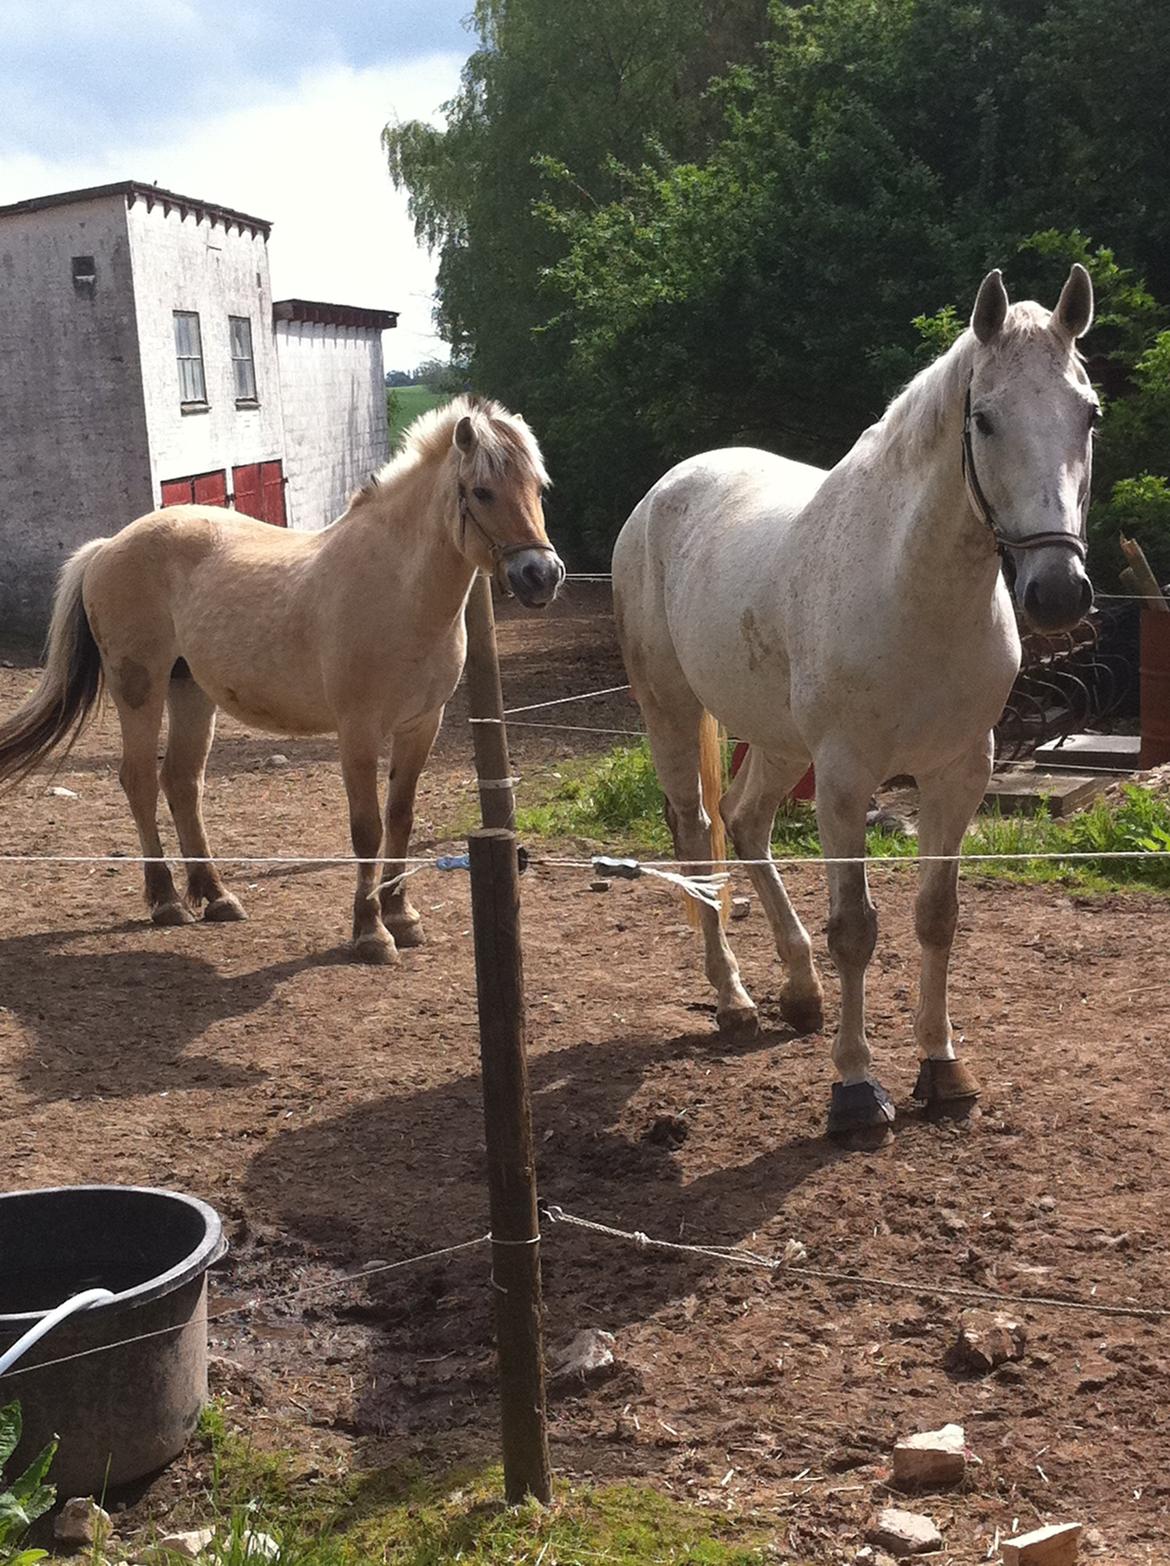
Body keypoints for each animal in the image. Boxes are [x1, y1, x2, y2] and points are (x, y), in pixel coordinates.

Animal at [613, 263, 1096, 1133]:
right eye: (985, 419)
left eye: (1089, 413)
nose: (1057, 592)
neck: (913, 589)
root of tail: (664, 492)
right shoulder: (844, 780)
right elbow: (857, 930)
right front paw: (856, 1088)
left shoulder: (957, 774)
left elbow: (937, 918)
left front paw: (942, 1068)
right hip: (670, 710)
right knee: (696, 831)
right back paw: (734, 999)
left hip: (777, 743)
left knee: (745, 823)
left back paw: (799, 992)